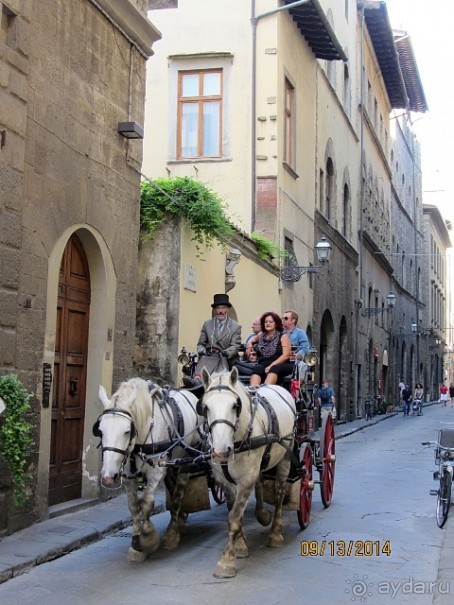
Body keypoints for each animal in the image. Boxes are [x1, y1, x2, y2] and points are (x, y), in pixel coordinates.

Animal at [94, 378, 202, 560]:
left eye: (127, 431)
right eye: (100, 430)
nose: (108, 476)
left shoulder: (156, 471)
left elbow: (147, 503)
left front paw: (146, 538)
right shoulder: (127, 474)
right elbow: (133, 505)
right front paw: (136, 544)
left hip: (184, 461)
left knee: (178, 494)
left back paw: (172, 534)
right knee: (172, 490)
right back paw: (179, 522)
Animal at [198, 366, 296, 580]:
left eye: (235, 405)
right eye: (206, 407)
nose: (220, 450)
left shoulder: (245, 479)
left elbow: (234, 518)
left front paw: (226, 561)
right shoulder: (224, 481)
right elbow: (233, 510)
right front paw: (241, 546)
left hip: (286, 456)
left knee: (279, 492)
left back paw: (276, 533)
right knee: (260, 483)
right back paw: (262, 514)